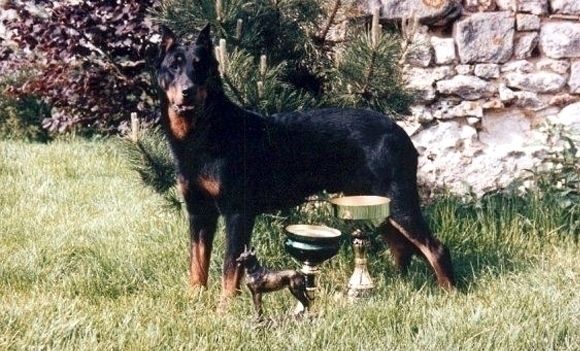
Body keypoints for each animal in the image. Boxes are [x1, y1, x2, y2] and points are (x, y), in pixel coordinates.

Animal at [156, 24, 456, 306]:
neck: (203, 132)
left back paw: (449, 294)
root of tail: (401, 133)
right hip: (376, 202)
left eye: (201, 66)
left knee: (435, 248)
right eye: (173, 66)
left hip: (397, 199)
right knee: (401, 247)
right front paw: (194, 299)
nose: (187, 91)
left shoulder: (237, 212)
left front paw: (225, 308)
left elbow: (230, 268)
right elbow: (197, 262)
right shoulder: (198, 212)